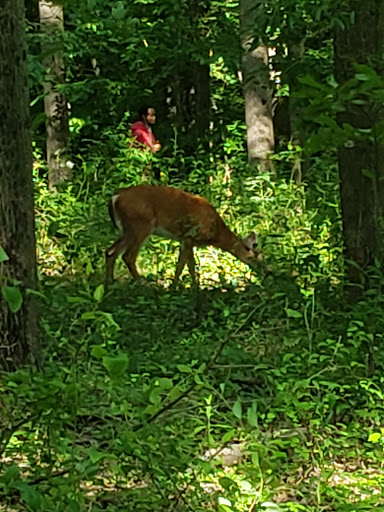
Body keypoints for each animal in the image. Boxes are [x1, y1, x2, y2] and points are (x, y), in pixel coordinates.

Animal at [105, 186, 262, 286]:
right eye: (253, 256)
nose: (265, 272)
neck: (215, 232)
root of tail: (115, 197)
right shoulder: (189, 236)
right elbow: (185, 266)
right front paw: (180, 287)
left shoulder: (185, 239)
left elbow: (186, 264)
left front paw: (186, 286)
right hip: (141, 225)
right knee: (128, 256)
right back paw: (143, 284)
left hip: (126, 229)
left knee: (110, 252)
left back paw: (110, 283)